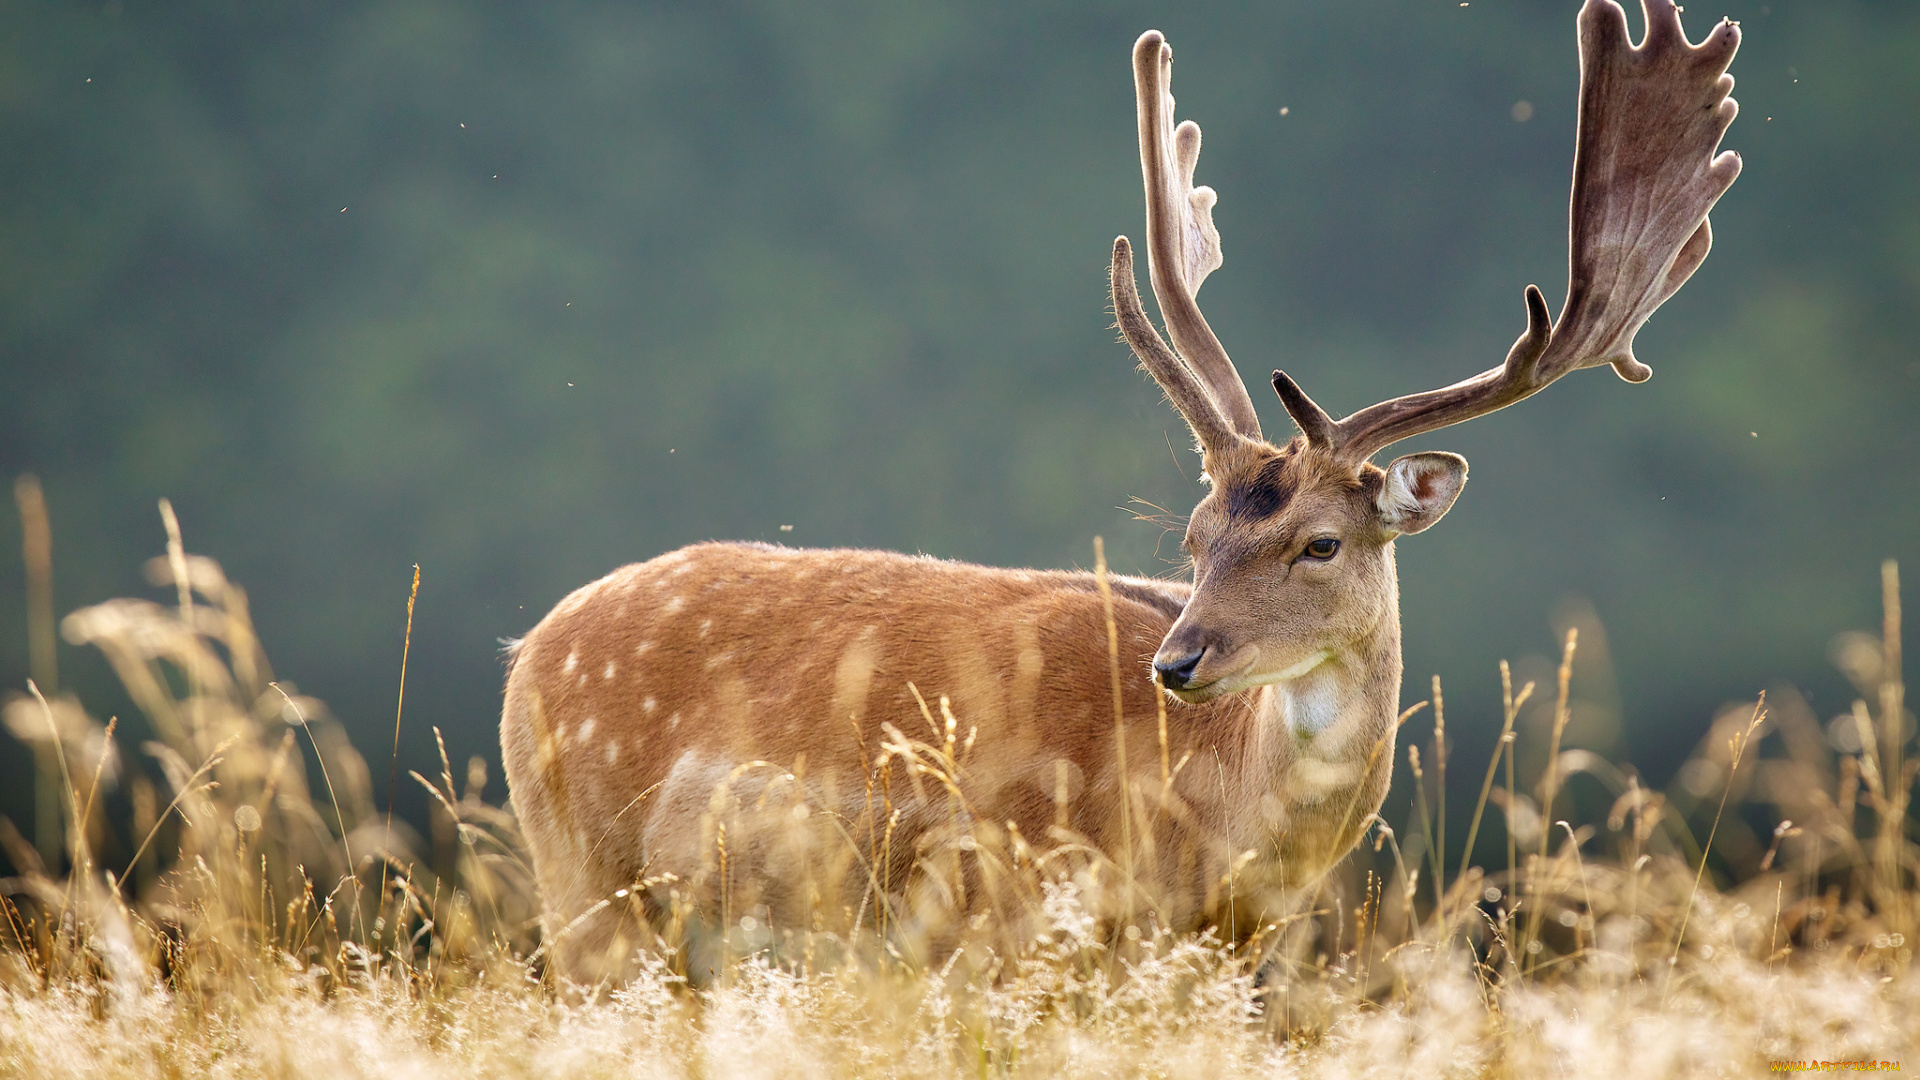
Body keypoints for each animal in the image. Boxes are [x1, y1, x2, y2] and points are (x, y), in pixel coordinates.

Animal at [499, 0, 1743, 980]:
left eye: (1320, 542)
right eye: (1193, 538)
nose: (1179, 661)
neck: (1215, 841)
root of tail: (527, 652)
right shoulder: (1006, 921)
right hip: (584, 885)